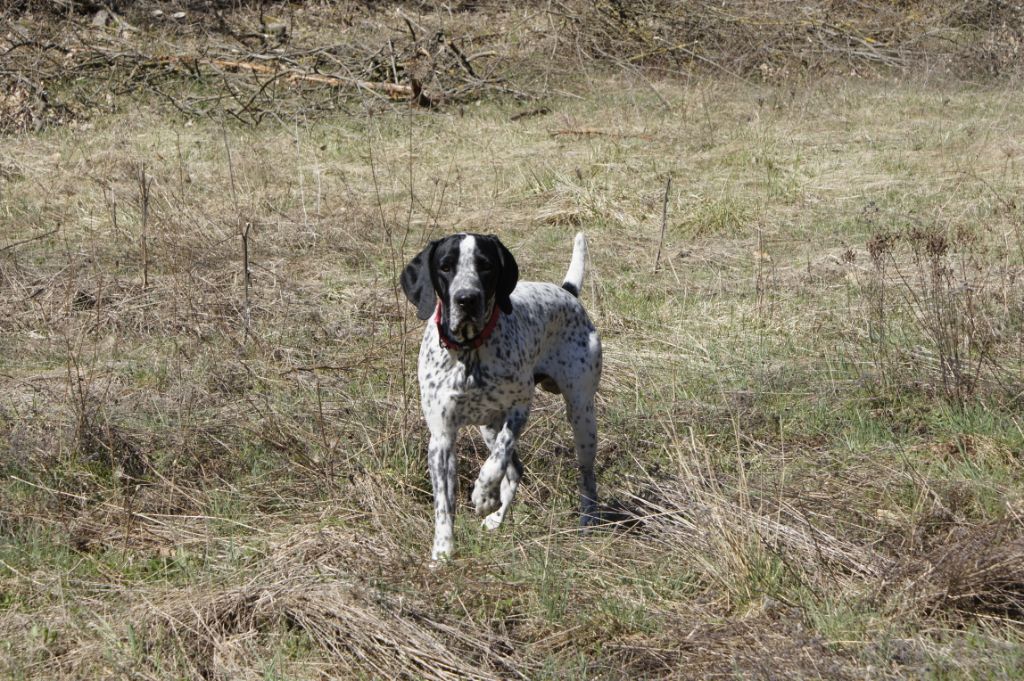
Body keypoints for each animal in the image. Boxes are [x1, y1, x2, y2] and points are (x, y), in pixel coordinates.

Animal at [399, 231, 598, 561]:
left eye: (486, 265)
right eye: (445, 266)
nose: (466, 299)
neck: (469, 353)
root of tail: (566, 292)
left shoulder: (519, 408)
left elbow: (496, 462)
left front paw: (481, 493)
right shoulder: (441, 438)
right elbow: (444, 504)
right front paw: (443, 550)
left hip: (581, 416)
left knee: (586, 475)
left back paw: (589, 518)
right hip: (487, 427)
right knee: (516, 471)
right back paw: (497, 518)